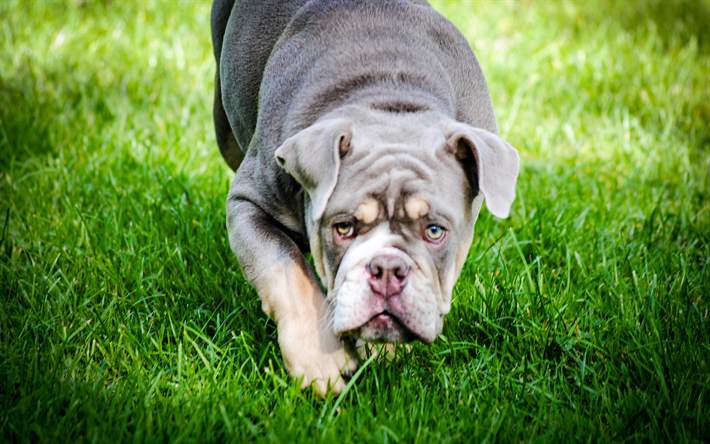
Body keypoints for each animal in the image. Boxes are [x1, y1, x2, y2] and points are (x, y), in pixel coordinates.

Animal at [209, 0, 520, 396]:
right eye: (343, 228)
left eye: (435, 231)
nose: (388, 269)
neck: (389, 101)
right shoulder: (249, 205)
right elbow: (286, 271)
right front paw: (321, 361)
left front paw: (382, 350)